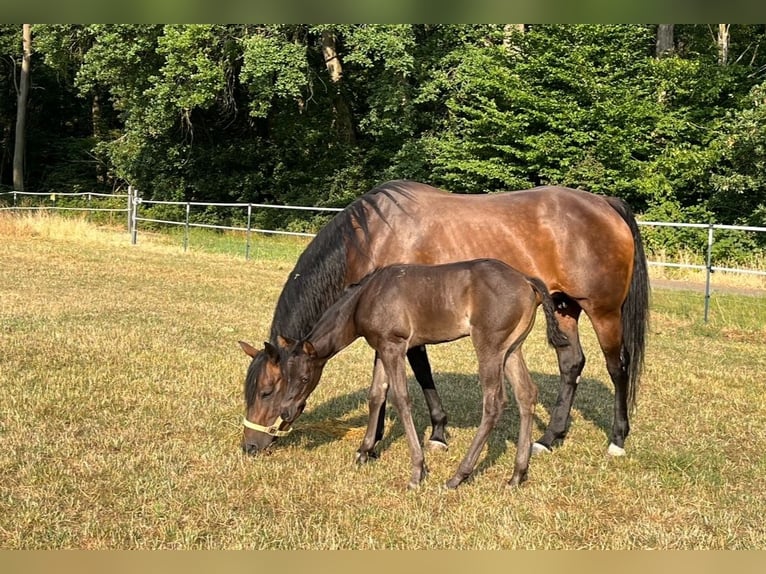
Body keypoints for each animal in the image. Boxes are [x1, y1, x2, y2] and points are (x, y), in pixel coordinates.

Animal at [239, 180, 649, 458]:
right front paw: (426, 431)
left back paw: (617, 439)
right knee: (571, 364)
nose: (250, 445)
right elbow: (412, 375)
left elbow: (409, 377)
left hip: (603, 312)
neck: (370, 237)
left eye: (266, 390)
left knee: (617, 367)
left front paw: (390, 441)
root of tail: (605, 204)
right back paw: (550, 438)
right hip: (565, 308)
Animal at [276, 259, 570, 489]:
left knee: (494, 403)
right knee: (526, 394)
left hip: (490, 346)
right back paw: (517, 475)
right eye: (284, 377)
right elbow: (376, 395)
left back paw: (458, 476)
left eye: (304, 378)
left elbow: (401, 399)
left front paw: (417, 470)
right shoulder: (382, 348)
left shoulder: (394, 346)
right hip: (511, 349)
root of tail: (526, 279)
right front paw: (364, 451)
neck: (365, 298)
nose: (285, 412)